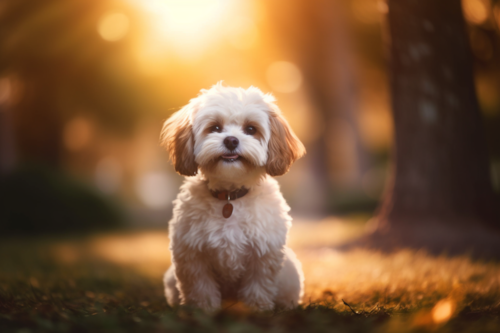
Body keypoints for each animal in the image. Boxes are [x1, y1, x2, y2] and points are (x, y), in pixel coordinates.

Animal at [162, 83, 306, 312]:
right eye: (215, 128)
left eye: (251, 129)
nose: (231, 140)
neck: (230, 197)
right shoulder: (192, 254)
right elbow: (200, 286)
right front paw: (202, 309)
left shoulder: (264, 254)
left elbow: (259, 284)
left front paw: (257, 308)